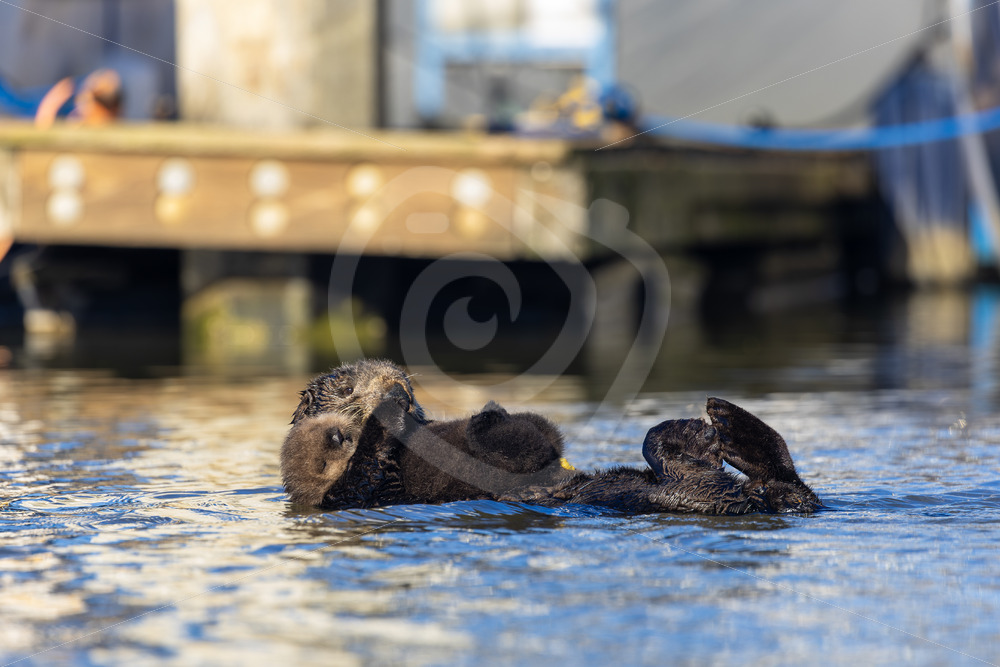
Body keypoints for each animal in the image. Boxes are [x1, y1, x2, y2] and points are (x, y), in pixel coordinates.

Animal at [281, 360, 821, 515]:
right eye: (346, 387)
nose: (399, 384)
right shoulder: (357, 491)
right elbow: (367, 466)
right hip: (685, 490)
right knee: (690, 470)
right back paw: (697, 431)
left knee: (785, 480)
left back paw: (725, 419)